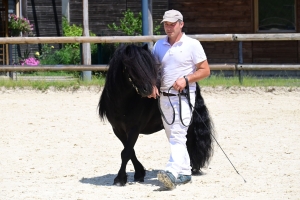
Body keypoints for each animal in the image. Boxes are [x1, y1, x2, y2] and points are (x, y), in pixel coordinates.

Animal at [98, 43, 213, 186]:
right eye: (131, 66)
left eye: (149, 65)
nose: (149, 90)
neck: (123, 102)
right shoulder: (118, 129)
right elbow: (129, 151)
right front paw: (139, 173)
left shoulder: (134, 129)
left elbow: (126, 152)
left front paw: (120, 178)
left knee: (188, 141)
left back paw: (191, 168)